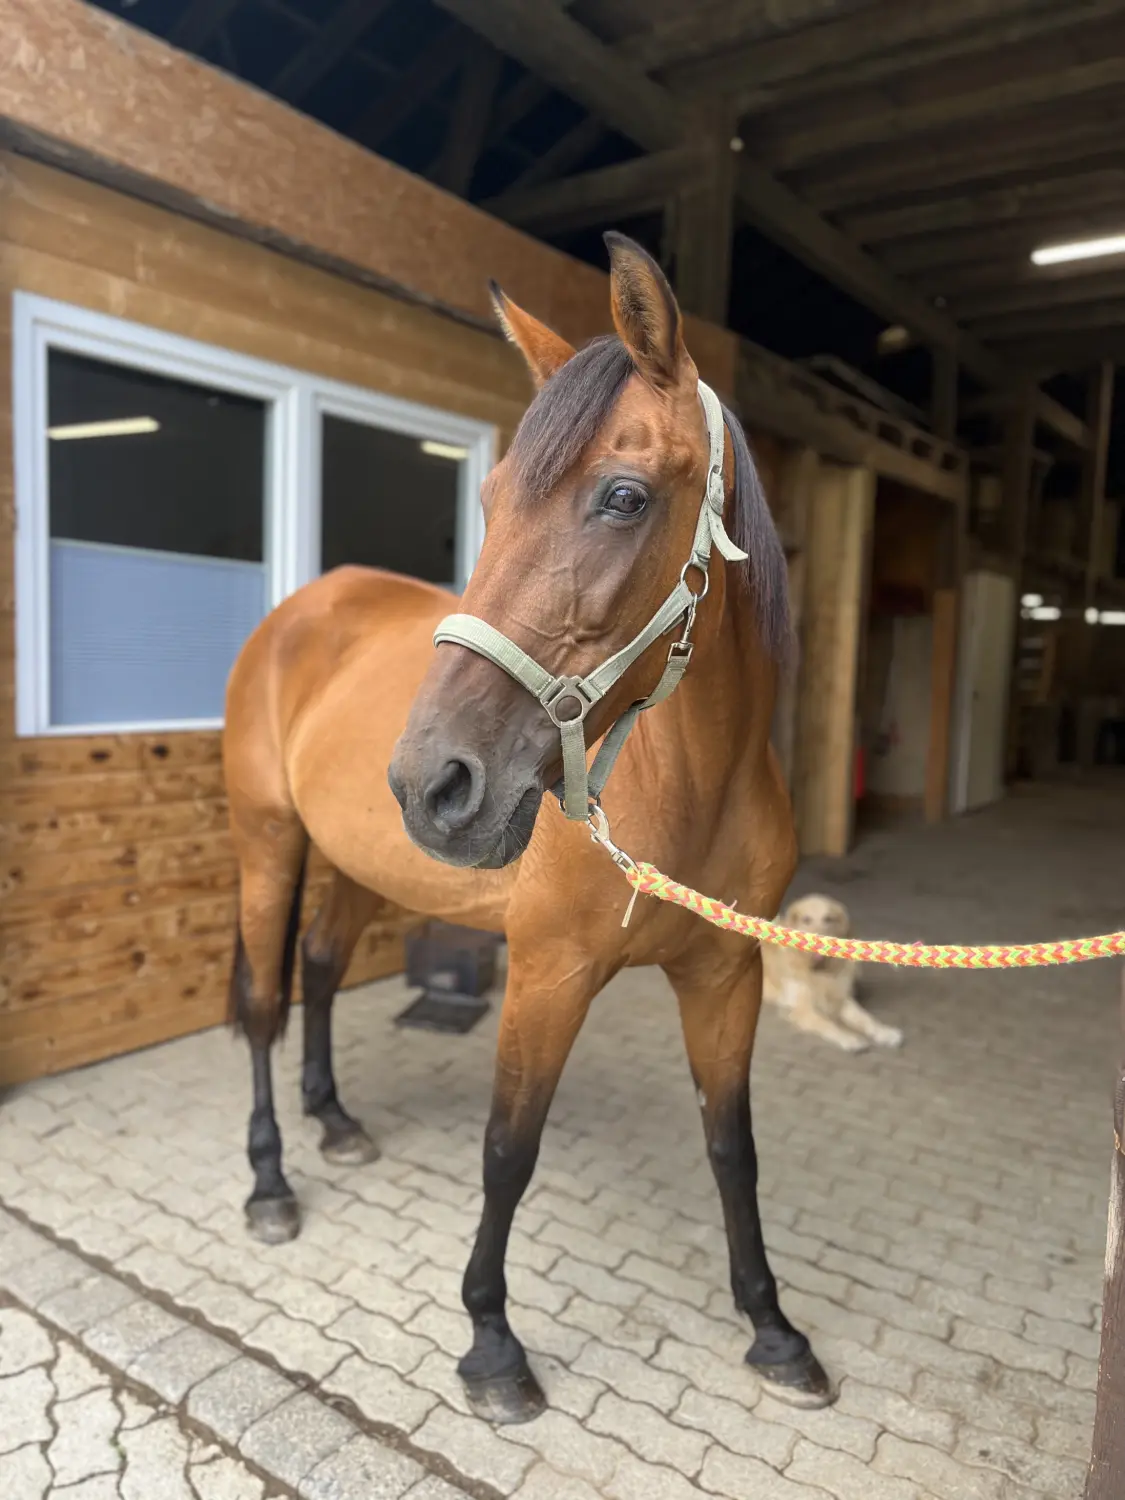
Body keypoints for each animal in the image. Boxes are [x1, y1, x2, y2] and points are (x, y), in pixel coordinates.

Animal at [221, 231, 832, 1423]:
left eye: (624, 497)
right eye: (493, 498)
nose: (433, 781)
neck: (684, 788)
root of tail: (298, 613)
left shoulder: (725, 974)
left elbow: (732, 1147)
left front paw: (772, 1328)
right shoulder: (548, 972)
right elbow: (509, 1148)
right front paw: (492, 1345)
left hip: (354, 858)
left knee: (319, 973)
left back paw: (336, 1122)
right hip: (267, 839)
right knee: (268, 1003)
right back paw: (271, 1181)